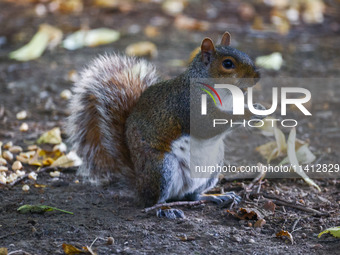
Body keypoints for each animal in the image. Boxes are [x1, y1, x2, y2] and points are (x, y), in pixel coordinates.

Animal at [67, 31, 262, 210]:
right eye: (227, 64)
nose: (257, 76)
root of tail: (139, 184)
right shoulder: (187, 104)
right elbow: (205, 125)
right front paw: (250, 111)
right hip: (161, 167)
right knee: (153, 200)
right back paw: (164, 209)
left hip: (213, 167)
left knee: (192, 195)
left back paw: (214, 196)